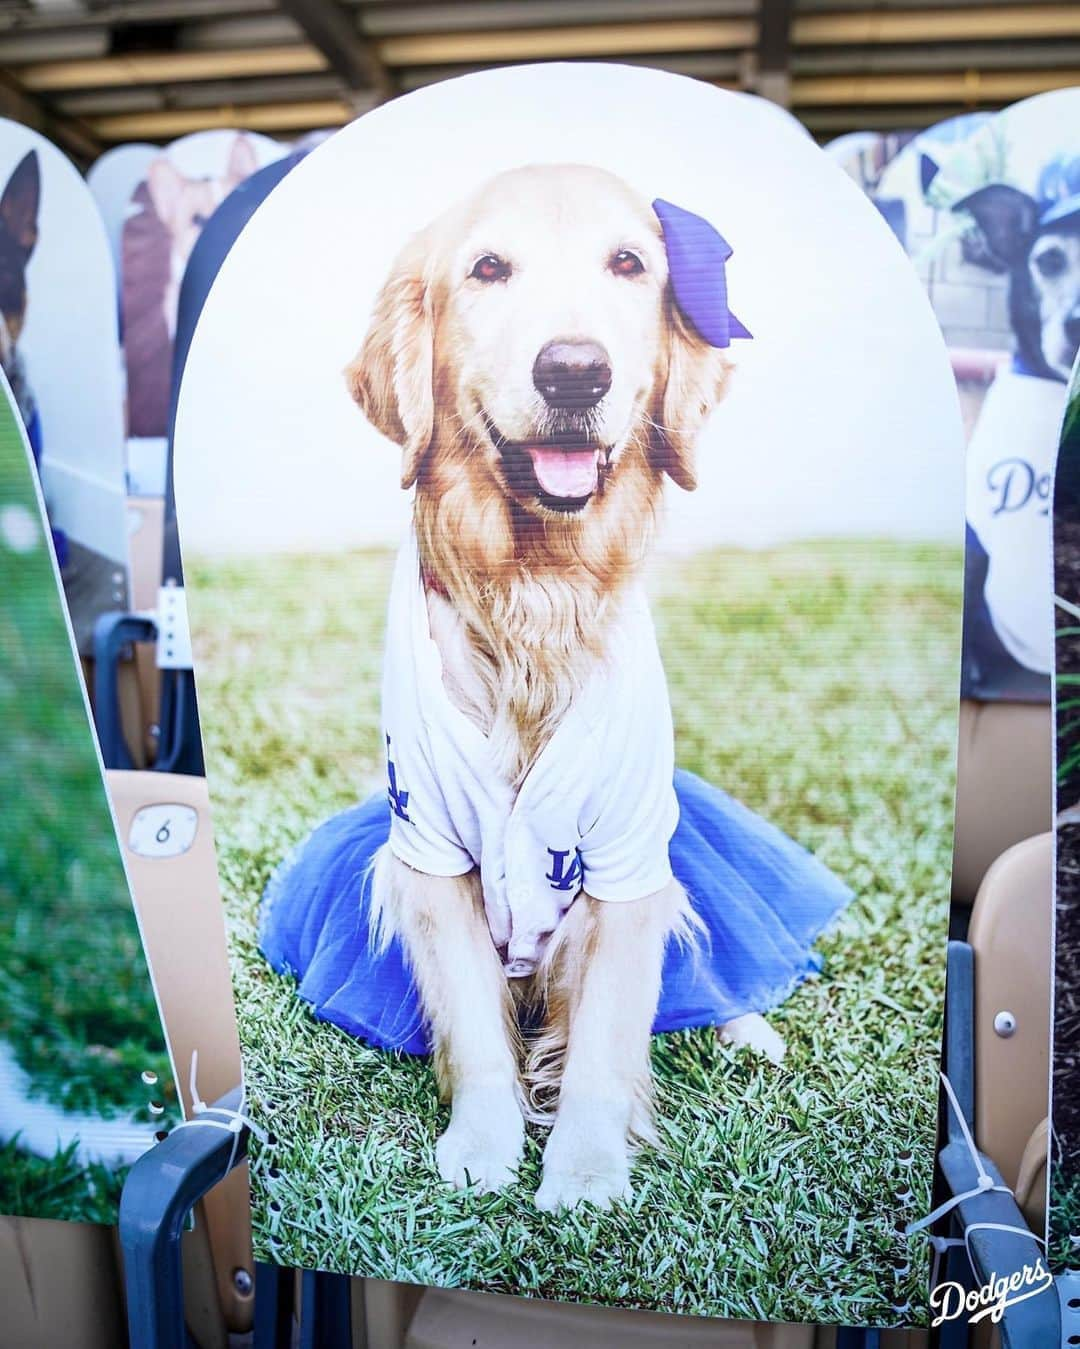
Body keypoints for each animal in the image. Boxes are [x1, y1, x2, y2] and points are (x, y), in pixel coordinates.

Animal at [345, 160, 776, 1214]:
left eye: (628, 264)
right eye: (488, 268)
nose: (575, 370)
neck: (533, 598)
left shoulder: (628, 861)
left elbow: (605, 1041)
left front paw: (582, 1170)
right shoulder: (427, 850)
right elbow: (474, 1026)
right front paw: (484, 1148)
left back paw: (749, 1026)